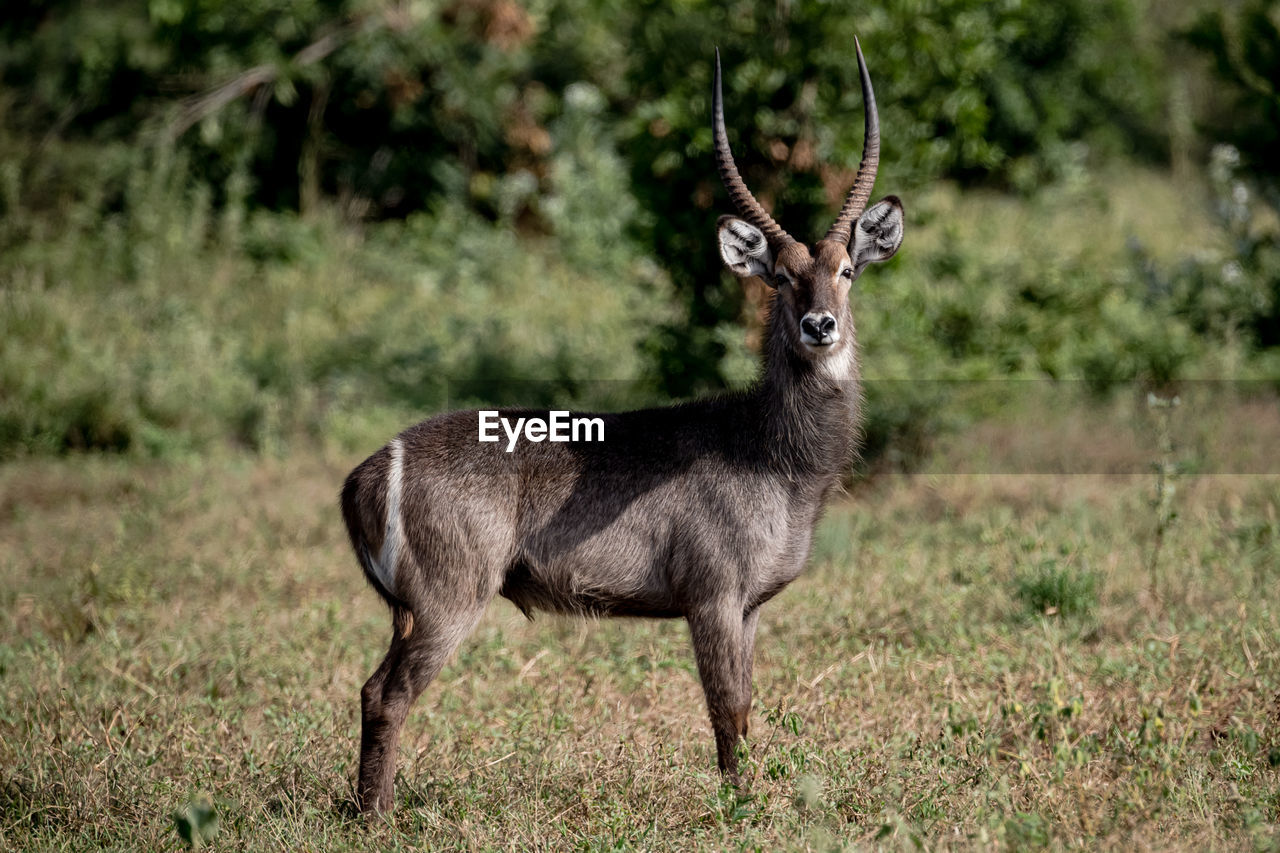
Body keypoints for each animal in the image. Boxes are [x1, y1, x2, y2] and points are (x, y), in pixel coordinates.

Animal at [335, 39, 906, 809]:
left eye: (847, 269)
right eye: (782, 277)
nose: (821, 325)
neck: (772, 453)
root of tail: (369, 470)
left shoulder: (751, 606)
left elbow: (746, 707)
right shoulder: (713, 596)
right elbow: (726, 709)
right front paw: (740, 808)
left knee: (373, 689)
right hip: (449, 597)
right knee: (385, 694)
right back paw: (378, 817)